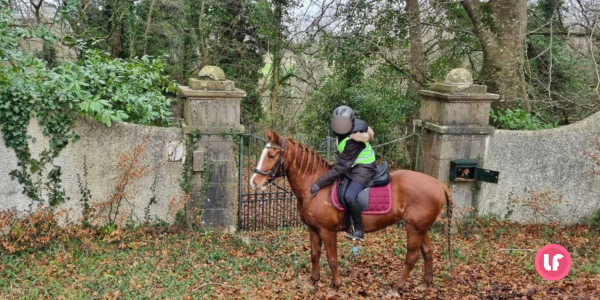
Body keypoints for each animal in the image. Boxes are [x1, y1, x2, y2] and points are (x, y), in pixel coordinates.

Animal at [250, 127, 454, 296]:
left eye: (271, 155)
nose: (254, 182)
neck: (314, 186)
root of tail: (437, 183)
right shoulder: (313, 229)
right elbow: (315, 254)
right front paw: (313, 281)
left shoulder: (327, 231)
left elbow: (331, 258)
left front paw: (335, 287)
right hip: (421, 228)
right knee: (428, 251)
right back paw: (425, 283)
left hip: (414, 228)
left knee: (411, 257)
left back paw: (396, 288)